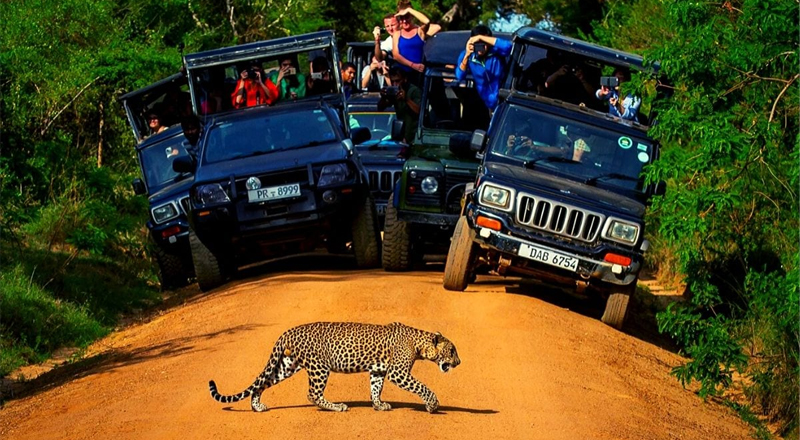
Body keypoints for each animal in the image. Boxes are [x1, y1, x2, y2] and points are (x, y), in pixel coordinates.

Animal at [208, 324, 462, 412]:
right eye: (452, 351)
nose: (459, 362)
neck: (420, 344)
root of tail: (288, 331)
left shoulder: (378, 370)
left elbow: (375, 388)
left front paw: (379, 405)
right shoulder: (397, 372)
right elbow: (422, 387)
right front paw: (432, 405)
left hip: (288, 365)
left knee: (263, 382)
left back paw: (257, 406)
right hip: (319, 367)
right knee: (312, 394)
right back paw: (337, 407)